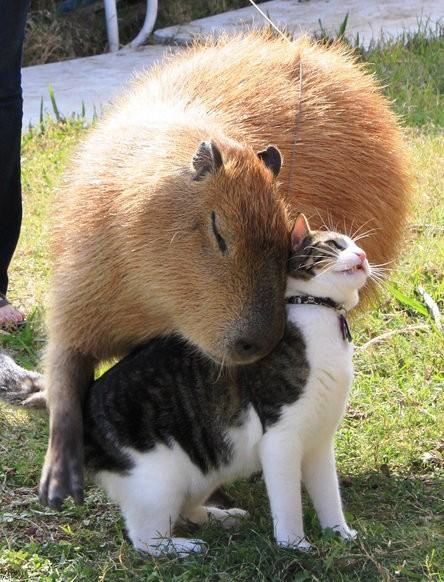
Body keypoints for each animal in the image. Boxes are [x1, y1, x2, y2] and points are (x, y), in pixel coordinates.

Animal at [40, 32, 411, 508]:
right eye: (217, 229)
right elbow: (64, 369)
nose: (259, 343)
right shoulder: (80, 290)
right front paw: (58, 484)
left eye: (284, 231)